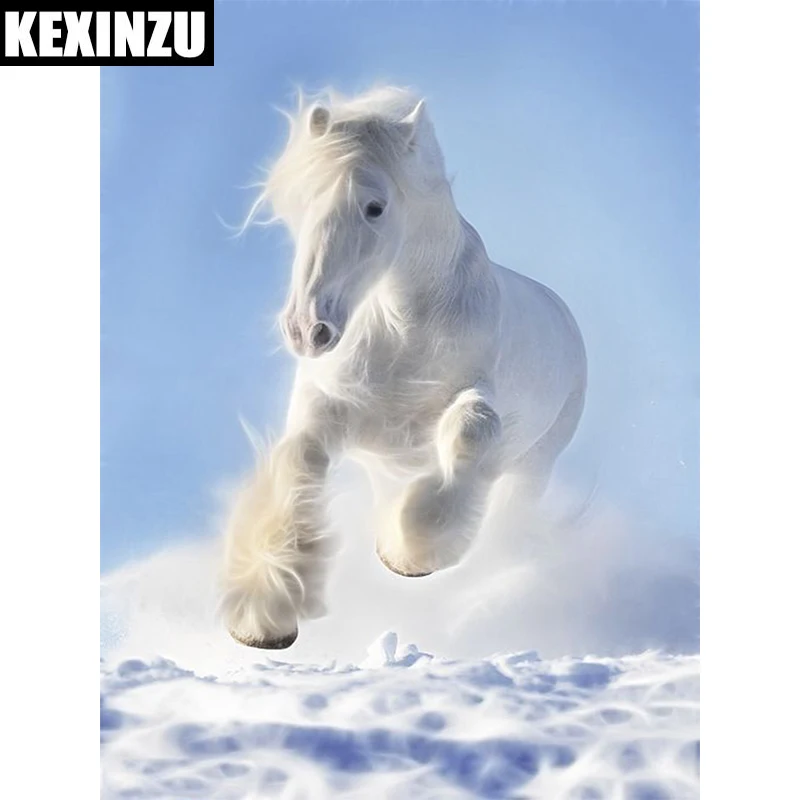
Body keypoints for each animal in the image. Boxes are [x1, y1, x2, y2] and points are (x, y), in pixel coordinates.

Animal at [221, 86, 587, 650]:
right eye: (302, 202)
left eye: (375, 206)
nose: (307, 328)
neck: (400, 333)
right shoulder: (328, 413)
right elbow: (298, 466)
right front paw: (265, 615)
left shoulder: (472, 402)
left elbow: (472, 428)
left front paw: (411, 554)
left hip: (533, 468)